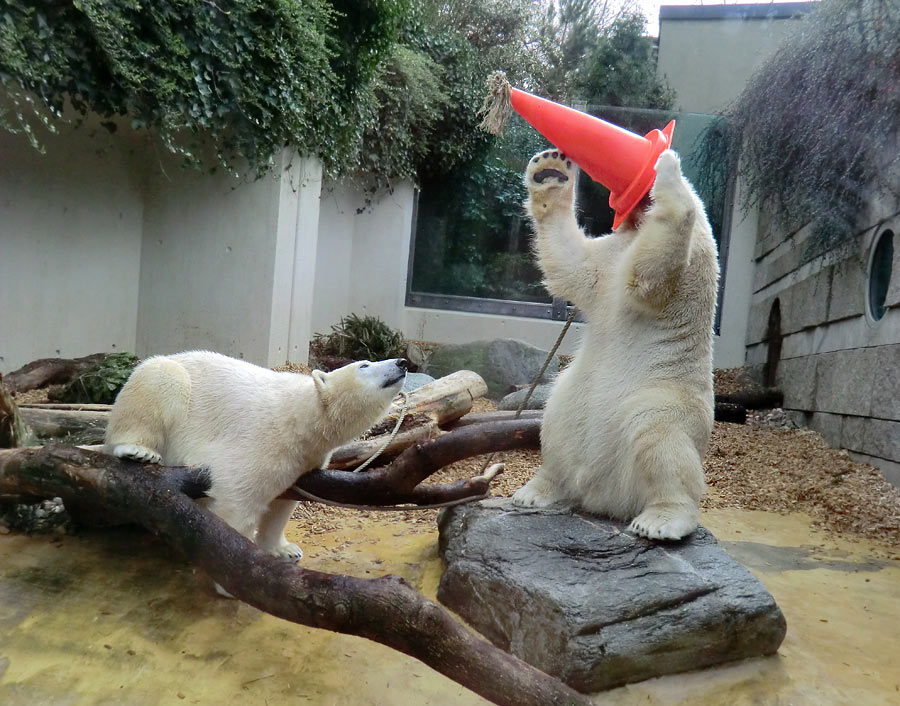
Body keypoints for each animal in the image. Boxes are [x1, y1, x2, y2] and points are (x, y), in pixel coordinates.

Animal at [104, 352, 408, 560]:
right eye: (364, 365)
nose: (402, 362)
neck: (301, 416)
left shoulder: (304, 457)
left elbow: (283, 502)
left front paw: (286, 550)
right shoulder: (265, 437)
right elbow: (239, 496)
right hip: (161, 384)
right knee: (160, 380)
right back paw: (138, 450)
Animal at [512, 148, 716, 540]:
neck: (636, 227)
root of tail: (606, 497)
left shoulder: (697, 247)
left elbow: (651, 277)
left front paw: (667, 169)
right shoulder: (609, 253)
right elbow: (575, 265)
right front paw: (551, 171)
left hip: (665, 396)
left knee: (658, 436)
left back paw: (661, 519)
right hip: (575, 398)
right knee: (557, 416)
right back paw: (537, 490)